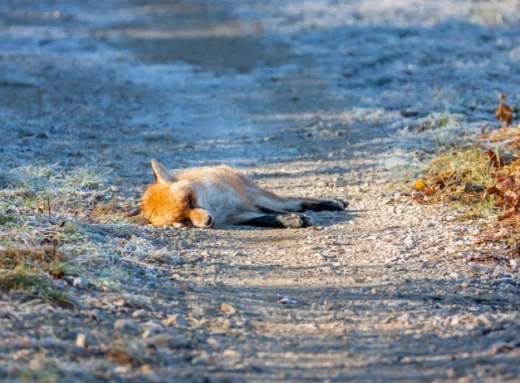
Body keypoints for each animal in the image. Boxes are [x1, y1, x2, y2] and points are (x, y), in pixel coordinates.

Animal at [138, 160, 350, 230]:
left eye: (190, 201)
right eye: (183, 220)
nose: (208, 221)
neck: (218, 209)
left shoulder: (246, 203)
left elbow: (272, 212)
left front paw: (298, 218)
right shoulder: (237, 216)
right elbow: (267, 219)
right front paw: (290, 221)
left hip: (258, 195)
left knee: (294, 201)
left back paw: (332, 203)